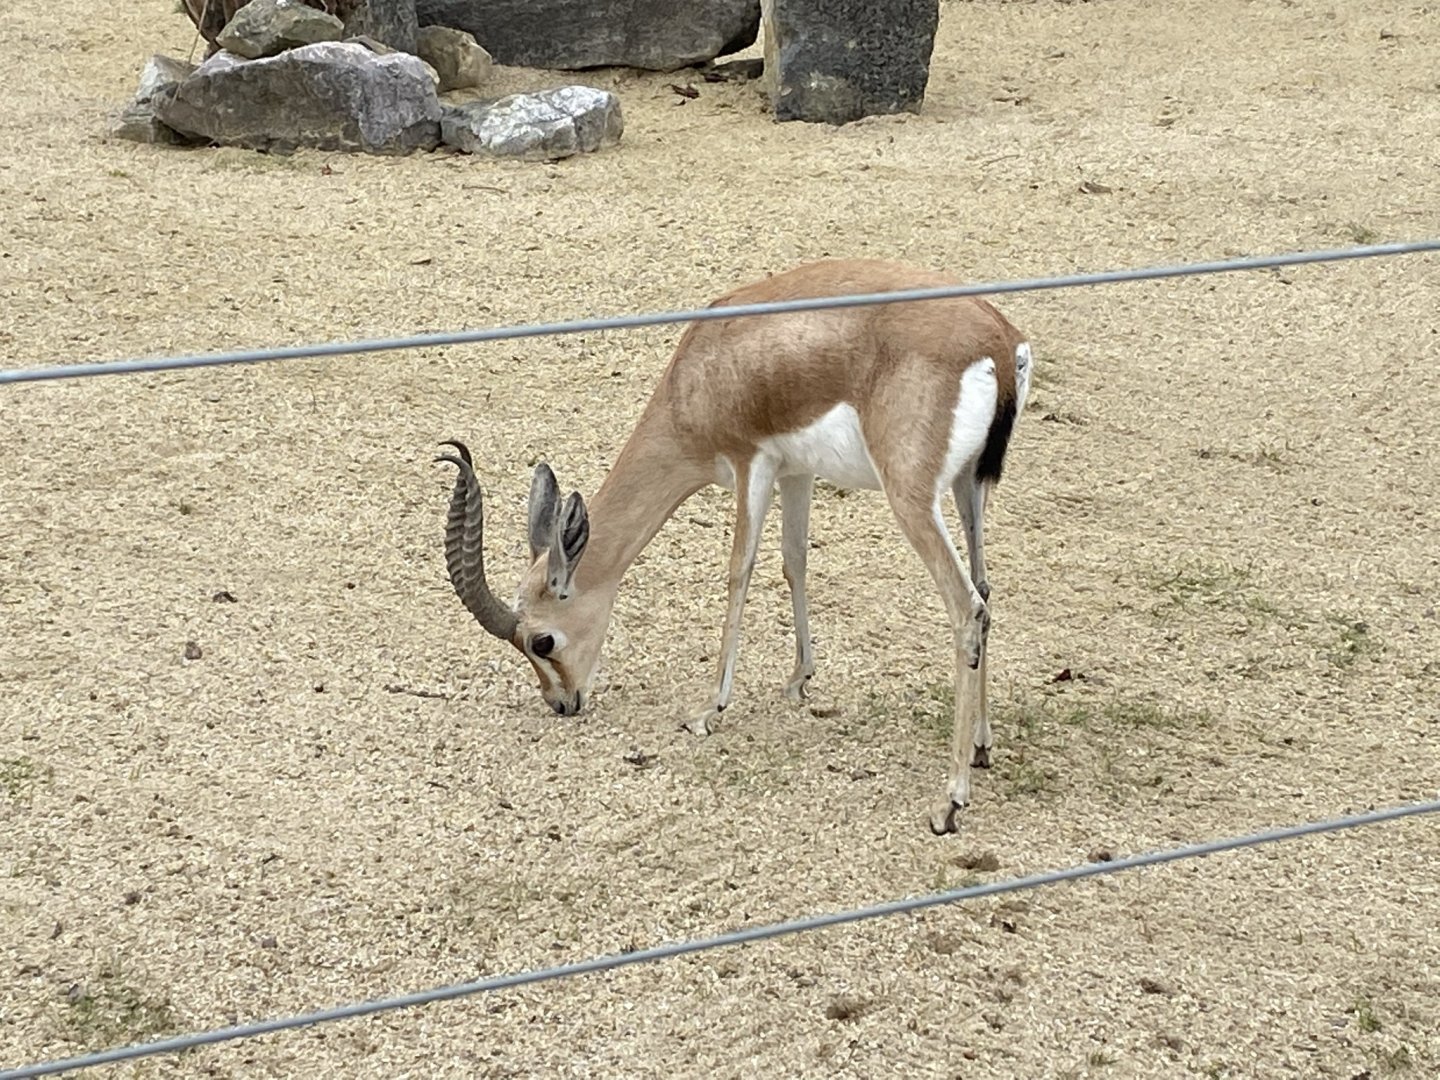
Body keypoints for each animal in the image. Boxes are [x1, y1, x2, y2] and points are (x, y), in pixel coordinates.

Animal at [436, 258, 1033, 834]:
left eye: (542, 641)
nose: (562, 703)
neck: (703, 367)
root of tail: (998, 339)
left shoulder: (752, 463)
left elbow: (739, 571)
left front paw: (708, 710)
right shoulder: (798, 473)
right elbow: (795, 562)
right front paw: (798, 680)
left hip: (911, 496)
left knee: (966, 606)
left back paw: (948, 804)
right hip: (969, 486)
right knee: (985, 591)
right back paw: (981, 747)